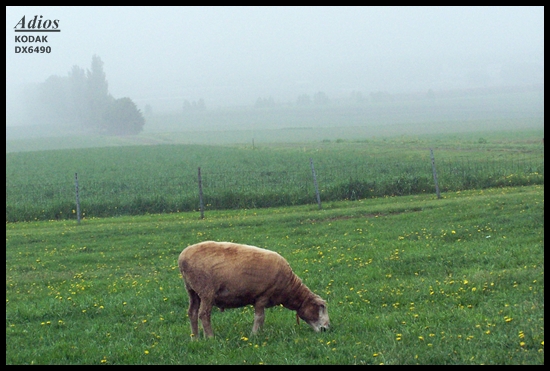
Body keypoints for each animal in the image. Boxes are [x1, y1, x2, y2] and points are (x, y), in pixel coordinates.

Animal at [179, 241, 330, 340]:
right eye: (321, 307)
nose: (327, 329)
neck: (289, 288)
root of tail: (182, 258)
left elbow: (261, 318)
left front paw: (260, 333)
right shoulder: (263, 296)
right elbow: (259, 317)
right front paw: (254, 335)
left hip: (192, 291)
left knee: (192, 313)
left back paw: (195, 338)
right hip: (206, 291)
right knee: (204, 314)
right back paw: (210, 338)